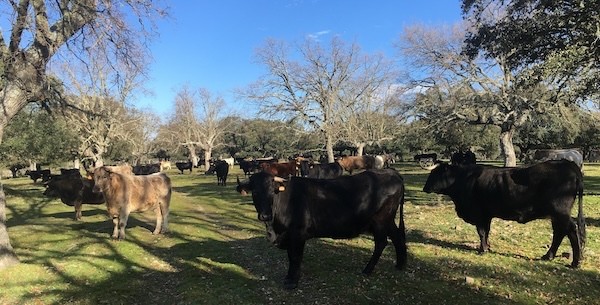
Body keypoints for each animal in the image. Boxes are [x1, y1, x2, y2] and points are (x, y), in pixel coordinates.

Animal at [236, 167, 408, 288]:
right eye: (255, 192)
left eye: (273, 191)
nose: (264, 216)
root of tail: (392, 172)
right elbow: (291, 256)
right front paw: (289, 278)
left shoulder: (297, 234)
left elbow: (295, 257)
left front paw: (292, 281)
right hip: (387, 221)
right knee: (397, 238)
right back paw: (400, 265)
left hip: (381, 220)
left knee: (381, 243)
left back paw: (367, 270)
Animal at [422, 160, 584, 268]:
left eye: (434, 174)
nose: (424, 188)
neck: (464, 179)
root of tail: (566, 163)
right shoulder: (487, 214)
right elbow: (486, 231)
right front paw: (487, 247)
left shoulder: (479, 213)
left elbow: (481, 232)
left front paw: (482, 250)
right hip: (555, 215)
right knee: (559, 232)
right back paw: (548, 256)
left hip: (560, 212)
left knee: (571, 230)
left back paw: (575, 262)